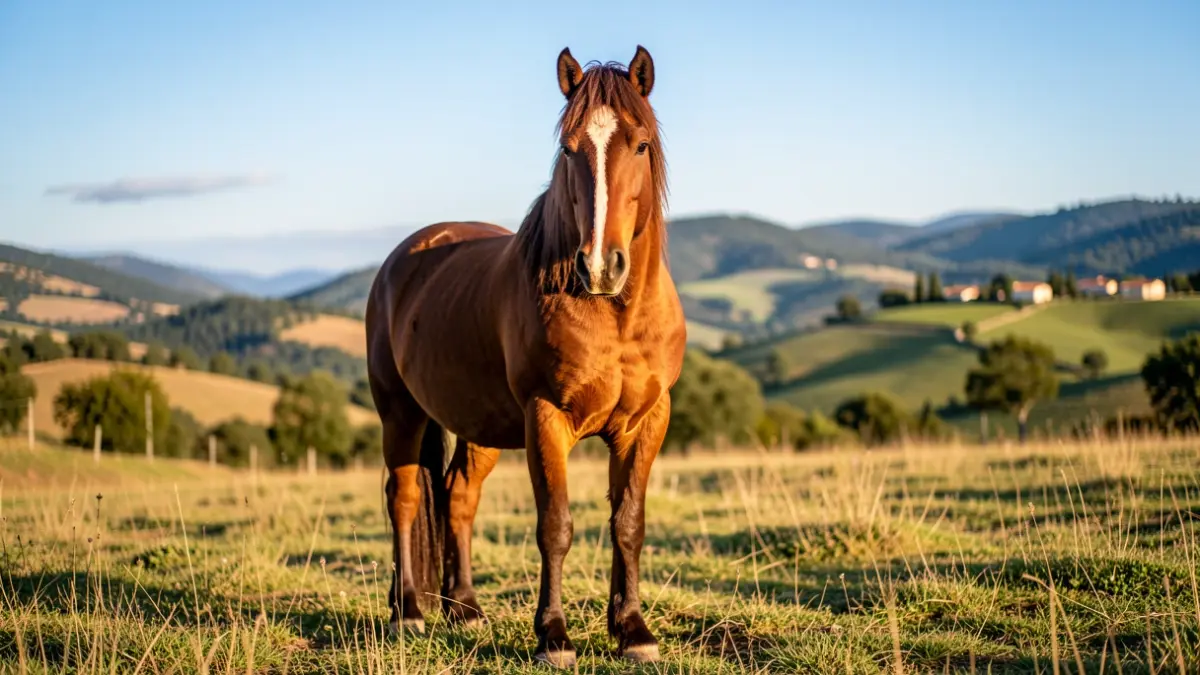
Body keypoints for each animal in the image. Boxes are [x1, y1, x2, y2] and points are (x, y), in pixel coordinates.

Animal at [365, 45, 686, 667]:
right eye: (569, 148)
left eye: (639, 144)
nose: (600, 266)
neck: (614, 315)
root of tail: (406, 256)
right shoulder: (546, 418)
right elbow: (555, 525)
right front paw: (554, 637)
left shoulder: (645, 422)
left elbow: (628, 522)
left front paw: (632, 630)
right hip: (400, 414)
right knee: (406, 498)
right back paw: (409, 611)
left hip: (480, 427)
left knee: (458, 499)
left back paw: (464, 609)